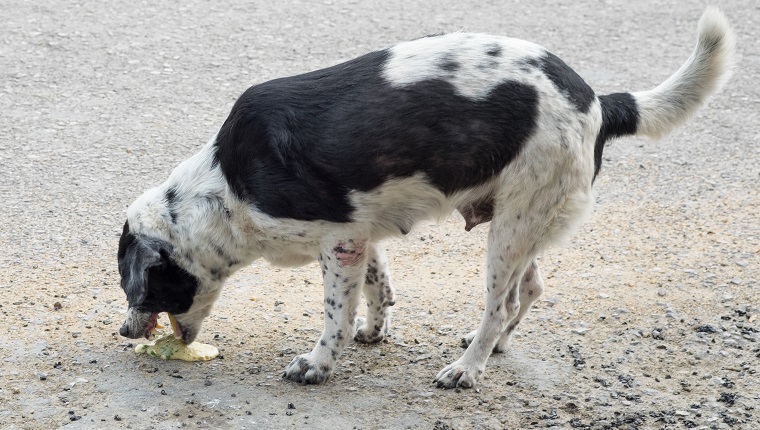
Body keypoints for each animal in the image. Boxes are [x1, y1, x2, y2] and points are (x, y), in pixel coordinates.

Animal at [120, 8, 736, 388]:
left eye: (139, 288)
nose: (124, 333)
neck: (225, 186)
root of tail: (599, 102)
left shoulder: (338, 242)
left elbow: (335, 314)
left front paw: (319, 363)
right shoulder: (360, 235)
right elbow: (378, 288)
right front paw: (374, 333)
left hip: (511, 229)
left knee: (502, 302)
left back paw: (467, 368)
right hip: (526, 221)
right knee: (530, 288)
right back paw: (493, 348)